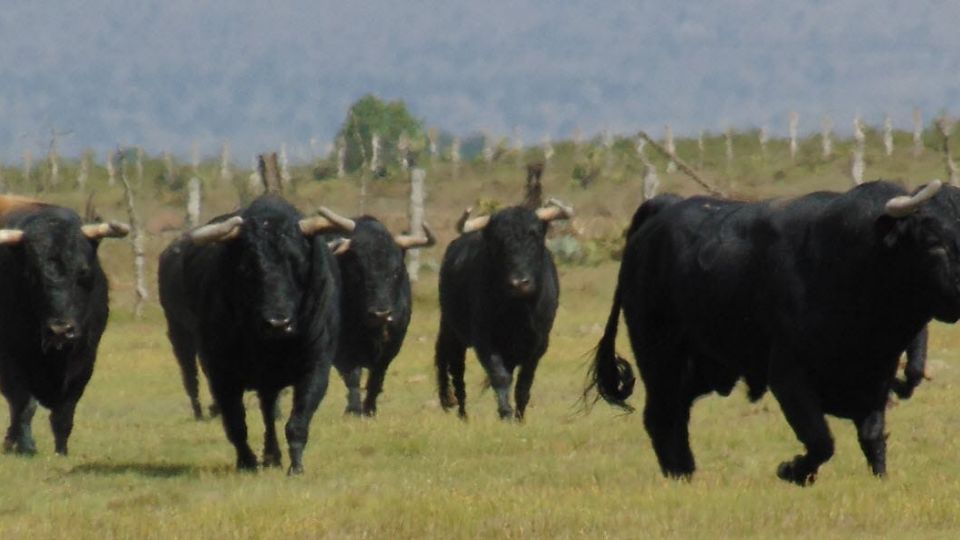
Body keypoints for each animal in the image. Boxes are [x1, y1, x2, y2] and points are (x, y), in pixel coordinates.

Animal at [0, 194, 128, 456]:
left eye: (84, 272)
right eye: (31, 275)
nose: (61, 330)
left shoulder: (85, 360)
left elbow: (64, 413)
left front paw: (61, 451)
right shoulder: (9, 360)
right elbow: (24, 405)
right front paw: (27, 446)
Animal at [162, 196, 344, 474]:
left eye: (297, 263)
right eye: (247, 268)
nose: (278, 323)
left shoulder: (316, 367)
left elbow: (297, 421)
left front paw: (296, 466)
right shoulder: (220, 373)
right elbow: (236, 423)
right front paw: (247, 462)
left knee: (268, 410)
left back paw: (272, 456)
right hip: (180, 337)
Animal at [316, 206, 436, 414]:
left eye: (396, 271)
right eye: (358, 269)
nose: (381, 313)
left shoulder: (392, 346)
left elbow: (376, 378)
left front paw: (370, 408)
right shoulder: (343, 349)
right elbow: (353, 376)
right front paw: (354, 409)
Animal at [438, 200, 572, 420]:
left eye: (535, 236)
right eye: (499, 242)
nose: (519, 283)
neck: (516, 312)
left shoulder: (539, 345)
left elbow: (524, 384)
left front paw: (519, 417)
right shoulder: (484, 340)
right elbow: (500, 376)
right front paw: (506, 413)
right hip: (452, 331)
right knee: (456, 371)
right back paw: (463, 414)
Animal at [588, 180, 960, 486]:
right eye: (934, 243)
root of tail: (663, 207)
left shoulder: (876, 377)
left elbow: (872, 435)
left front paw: (880, 478)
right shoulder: (788, 376)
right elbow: (821, 440)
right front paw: (792, 471)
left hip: (700, 367)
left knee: (676, 414)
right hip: (660, 357)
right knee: (661, 416)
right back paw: (680, 475)